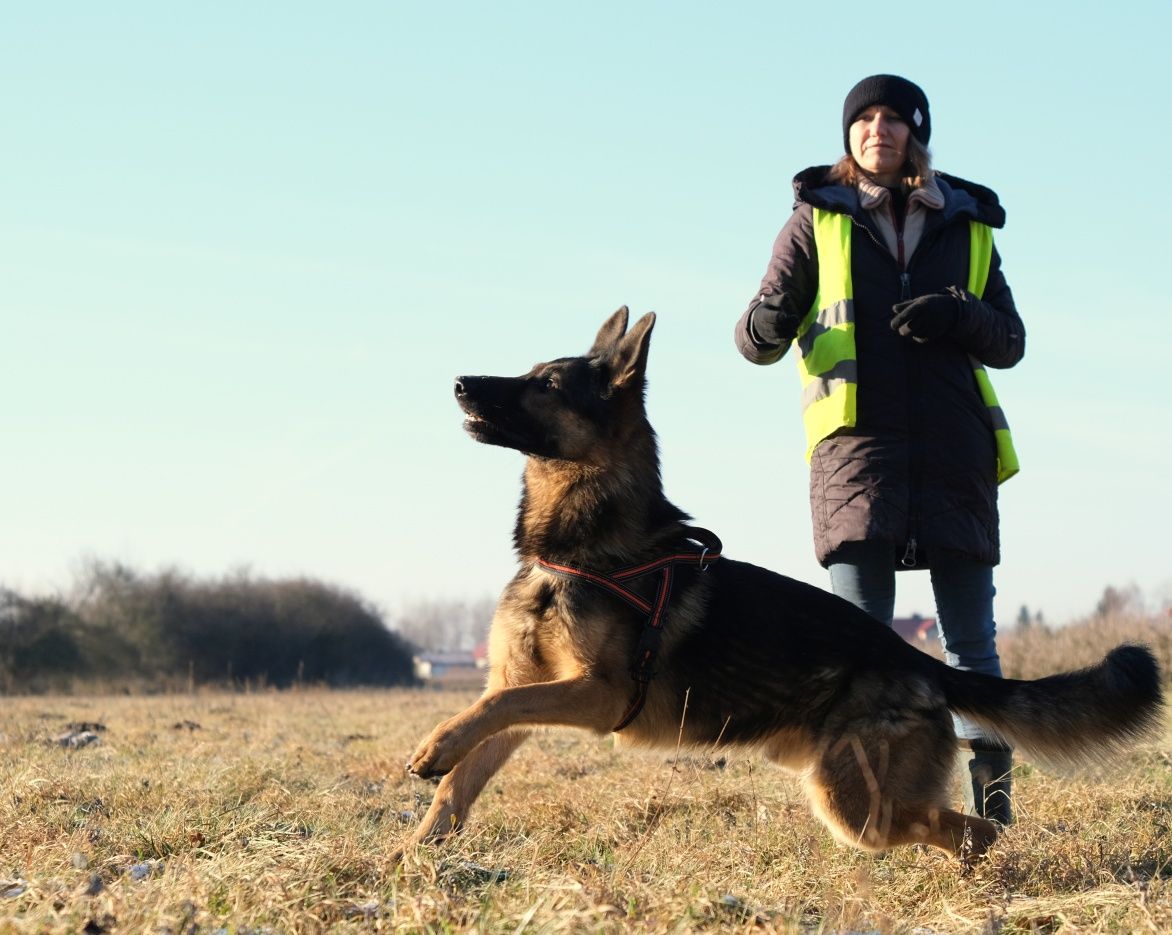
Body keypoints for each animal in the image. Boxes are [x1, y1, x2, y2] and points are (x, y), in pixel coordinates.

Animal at [403, 311, 1162, 867]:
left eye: (547, 386)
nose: (460, 383)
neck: (575, 549)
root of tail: (918, 662)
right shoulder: (530, 691)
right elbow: (467, 768)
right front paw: (414, 850)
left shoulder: (600, 693)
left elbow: (495, 704)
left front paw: (434, 746)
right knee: (960, 828)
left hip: (853, 801)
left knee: (974, 829)